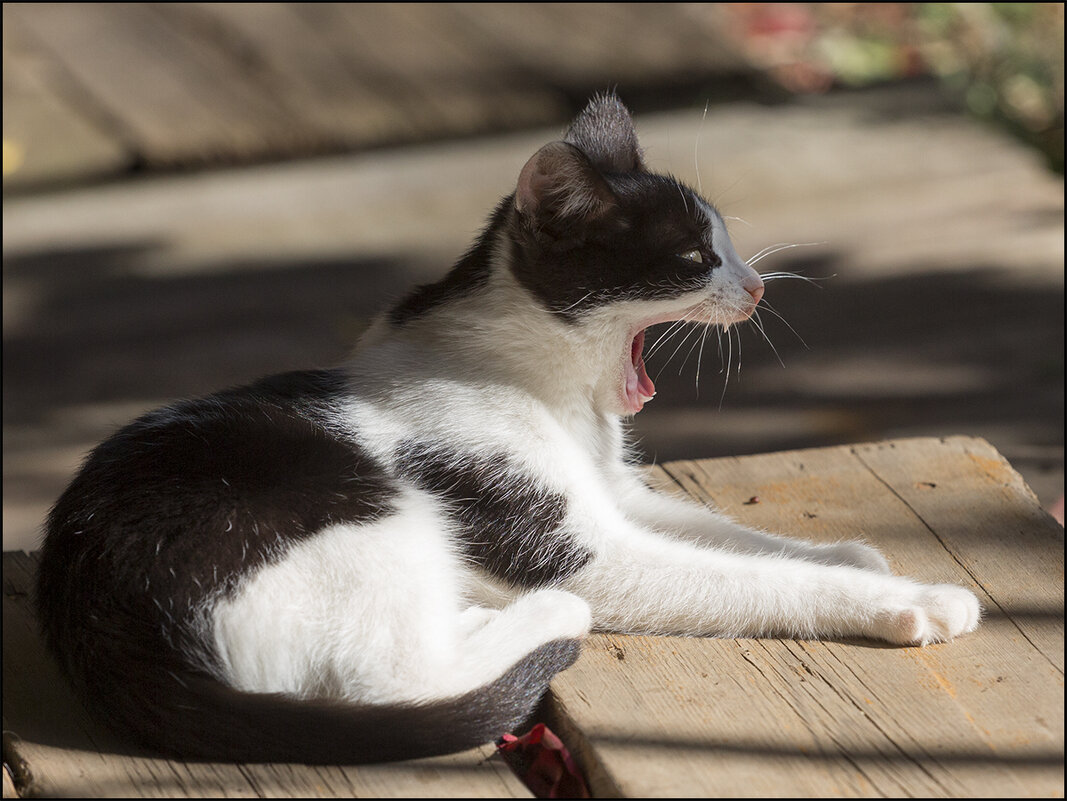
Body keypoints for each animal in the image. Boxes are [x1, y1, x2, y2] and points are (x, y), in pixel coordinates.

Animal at [35, 97, 981, 767]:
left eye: (726, 246)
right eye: (693, 259)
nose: (753, 286)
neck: (553, 390)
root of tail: (94, 614)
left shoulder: (612, 492)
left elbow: (726, 532)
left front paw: (850, 554)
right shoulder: (580, 545)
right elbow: (739, 578)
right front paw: (911, 599)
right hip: (363, 510)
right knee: (397, 675)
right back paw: (535, 615)